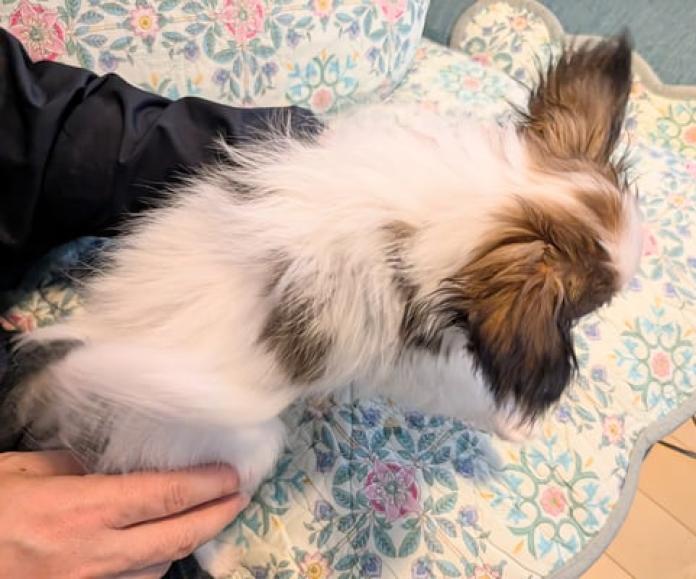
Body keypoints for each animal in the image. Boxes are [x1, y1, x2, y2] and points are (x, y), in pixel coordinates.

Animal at [10, 34, 641, 575]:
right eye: (584, 312)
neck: (483, 211)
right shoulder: (417, 365)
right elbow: (470, 392)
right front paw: (516, 426)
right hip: (231, 450)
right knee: (195, 523)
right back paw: (223, 559)